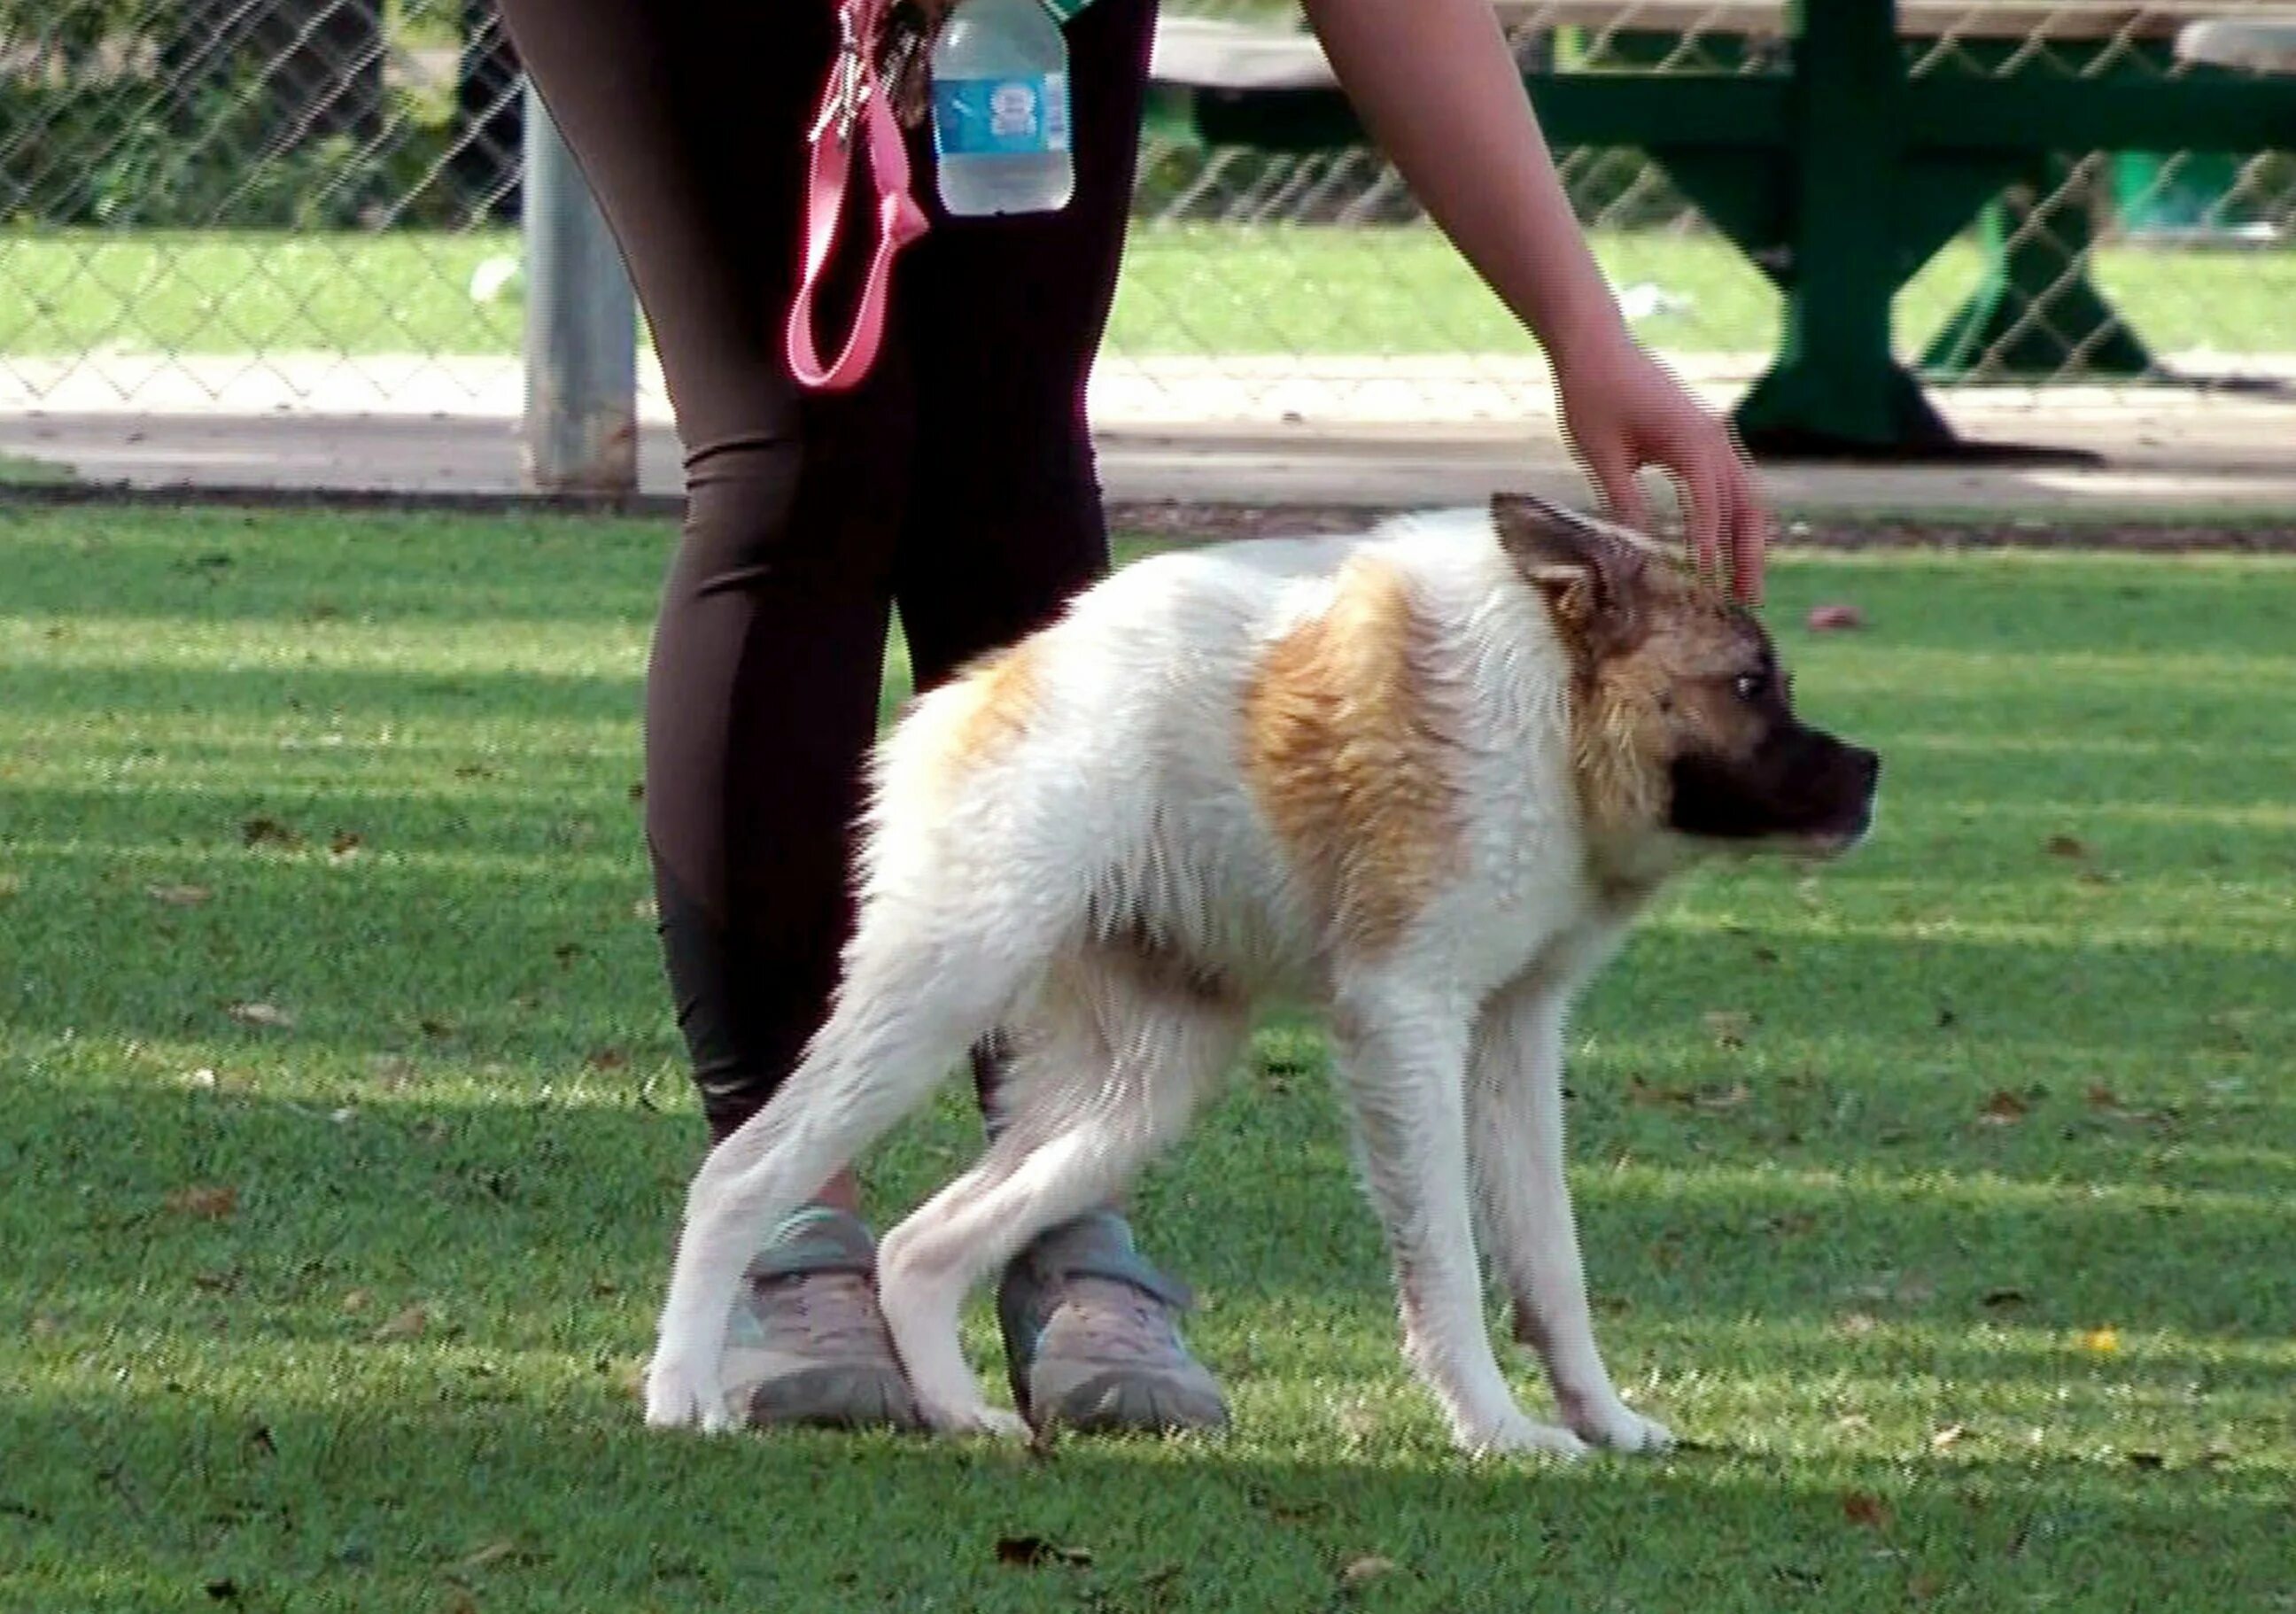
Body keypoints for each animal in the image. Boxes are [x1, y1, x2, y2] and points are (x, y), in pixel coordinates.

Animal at [638, 489, 1873, 1450]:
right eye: (1751, 684)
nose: (1870, 772)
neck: (1551, 715)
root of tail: (974, 692)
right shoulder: (1404, 1024)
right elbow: (1451, 1265)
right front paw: (1496, 1427)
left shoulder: (1513, 1041)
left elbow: (1550, 1261)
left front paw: (1603, 1419)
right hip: (941, 994)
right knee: (741, 1176)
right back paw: (682, 1390)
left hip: (1141, 1087)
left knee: (921, 1248)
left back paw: (953, 1408)